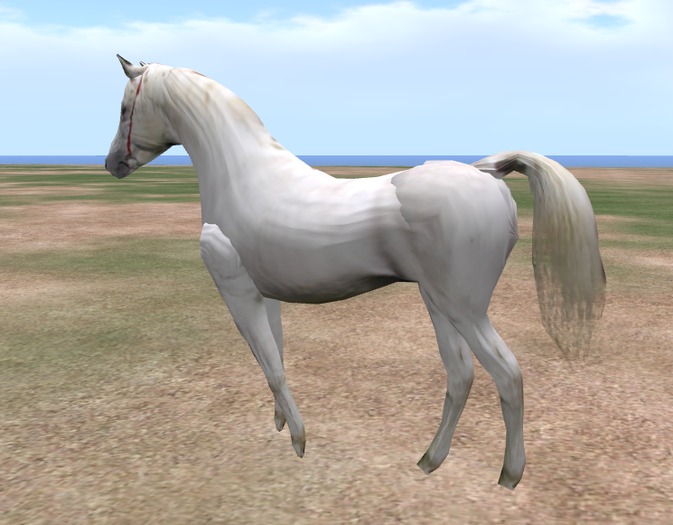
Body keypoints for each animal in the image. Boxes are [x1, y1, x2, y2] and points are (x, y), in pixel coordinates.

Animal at [105, 55, 605, 489]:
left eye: (126, 108)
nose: (112, 165)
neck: (242, 178)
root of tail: (489, 172)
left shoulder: (237, 292)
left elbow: (272, 368)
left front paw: (299, 442)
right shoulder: (265, 295)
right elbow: (275, 357)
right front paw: (280, 424)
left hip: (464, 308)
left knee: (508, 375)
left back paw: (509, 476)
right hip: (438, 302)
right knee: (461, 375)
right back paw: (430, 460)